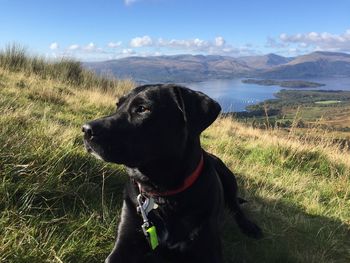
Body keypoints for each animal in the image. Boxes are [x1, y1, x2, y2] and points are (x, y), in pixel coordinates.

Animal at [82, 84, 262, 263]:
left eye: (142, 109)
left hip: (228, 177)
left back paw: (250, 227)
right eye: (117, 105)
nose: (85, 129)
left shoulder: (208, 250)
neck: (163, 194)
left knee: (235, 206)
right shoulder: (125, 242)